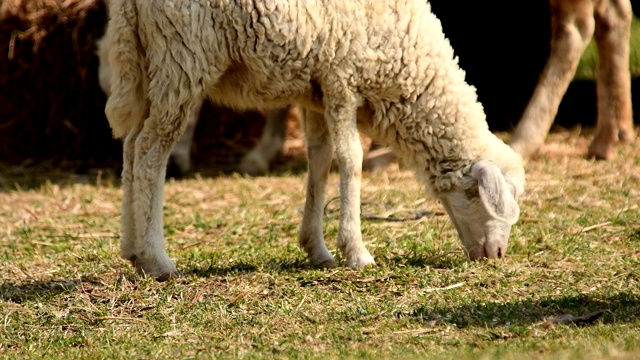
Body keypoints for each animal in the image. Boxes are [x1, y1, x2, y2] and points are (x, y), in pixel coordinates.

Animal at [105, 0, 524, 282]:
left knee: (131, 144)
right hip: (183, 55)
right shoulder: (341, 77)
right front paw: (356, 251)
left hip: (146, 57)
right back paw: (157, 260)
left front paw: (317, 249)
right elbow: (350, 160)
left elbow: (319, 162)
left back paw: (132, 249)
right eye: (476, 195)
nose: (497, 254)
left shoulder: (316, 91)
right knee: (151, 150)